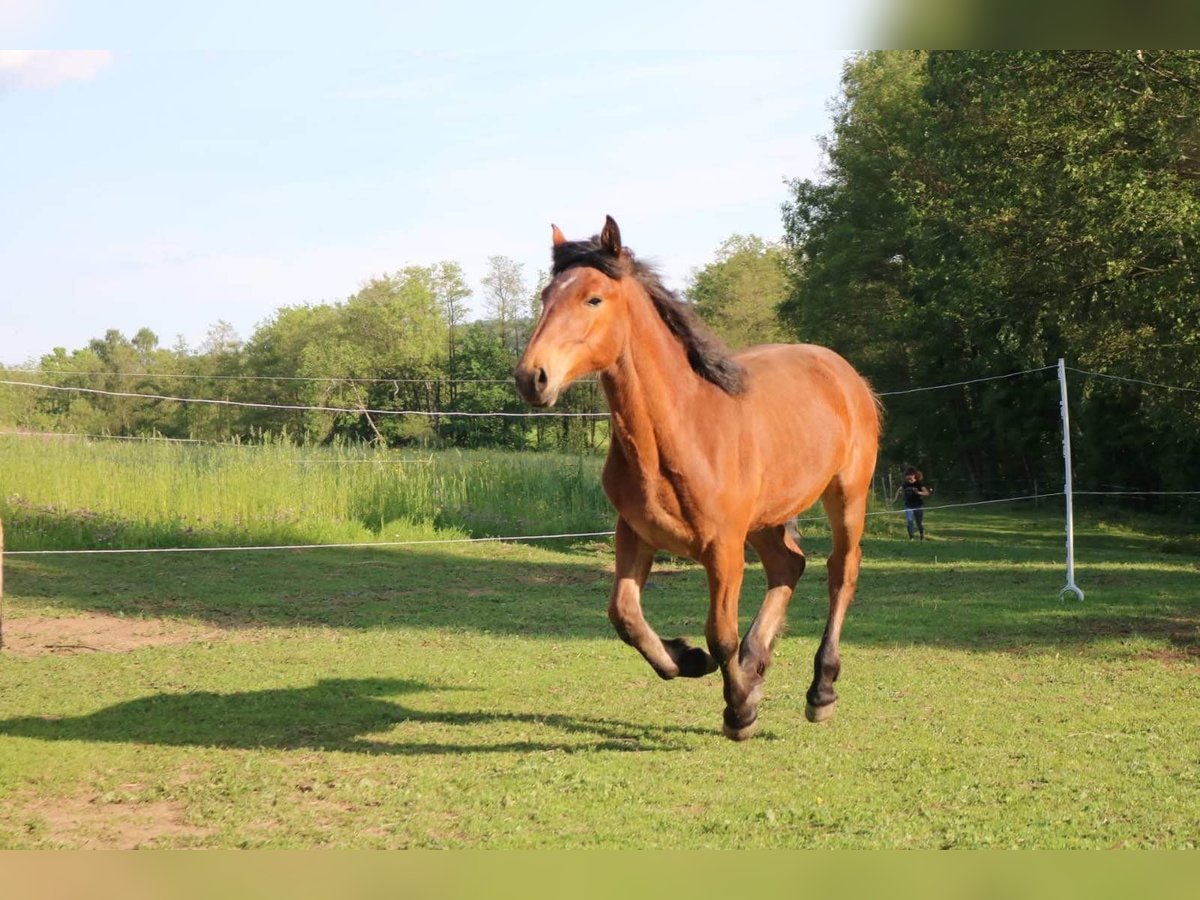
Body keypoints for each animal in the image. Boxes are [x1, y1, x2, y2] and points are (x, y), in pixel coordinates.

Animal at [511, 218, 878, 739]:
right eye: (546, 296)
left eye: (593, 299)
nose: (532, 377)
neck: (681, 433)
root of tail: (846, 375)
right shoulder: (635, 533)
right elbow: (625, 616)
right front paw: (689, 659)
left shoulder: (723, 548)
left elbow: (720, 633)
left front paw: (740, 710)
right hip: (766, 520)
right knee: (788, 567)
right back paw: (756, 664)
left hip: (846, 495)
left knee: (840, 573)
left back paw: (819, 691)